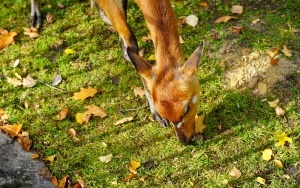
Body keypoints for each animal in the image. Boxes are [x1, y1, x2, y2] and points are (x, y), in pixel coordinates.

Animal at [29, 0, 204, 145]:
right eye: (166, 115)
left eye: (187, 108)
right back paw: (35, 18)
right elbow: (130, 43)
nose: (186, 140)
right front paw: (158, 117)